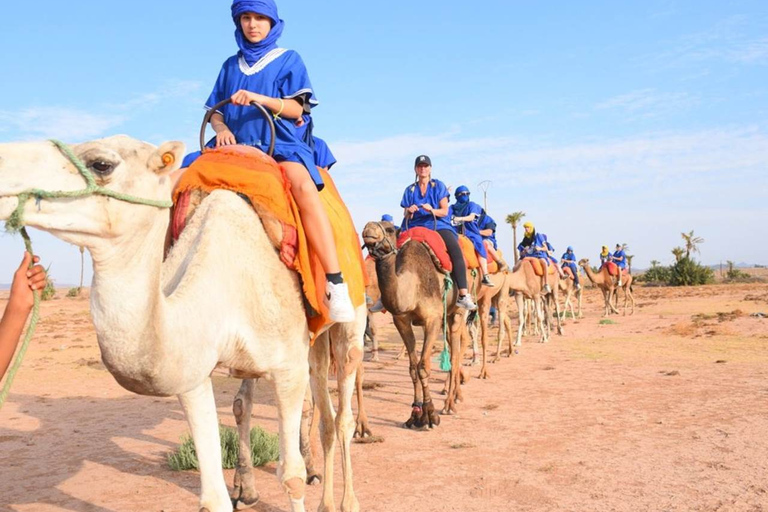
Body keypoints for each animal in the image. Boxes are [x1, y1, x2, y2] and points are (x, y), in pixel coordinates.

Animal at [0, 136, 364, 512]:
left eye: (101, 164)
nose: (3, 164)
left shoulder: (288, 367)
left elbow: (291, 476)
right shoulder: (193, 370)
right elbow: (213, 495)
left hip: (351, 318)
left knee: (341, 411)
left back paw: (344, 501)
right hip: (306, 347)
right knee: (305, 405)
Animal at [360, 221, 468, 424]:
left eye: (389, 229)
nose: (368, 228)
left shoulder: (432, 318)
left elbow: (423, 367)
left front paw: (430, 414)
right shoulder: (401, 320)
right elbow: (412, 368)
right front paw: (415, 413)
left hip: (458, 312)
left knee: (456, 352)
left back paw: (449, 404)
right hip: (447, 317)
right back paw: (456, 394)